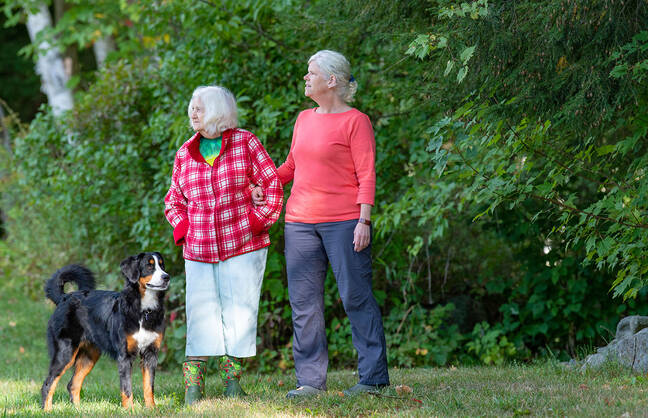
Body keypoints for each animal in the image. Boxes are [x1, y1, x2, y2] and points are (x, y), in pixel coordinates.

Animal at [40, 253, 170, 410]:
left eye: (162, 265)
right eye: (149, 266)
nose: (166, 277)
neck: (144, 311)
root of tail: (64, 298)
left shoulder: (150, 354)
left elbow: (149, 386)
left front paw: (151, 409)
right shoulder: (125, 356)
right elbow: (127, 388)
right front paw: (130, 410)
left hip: (89, 355)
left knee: (73, 384)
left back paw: (78, 410)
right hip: (65, 353)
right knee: (48, 384)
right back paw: (47, 410)